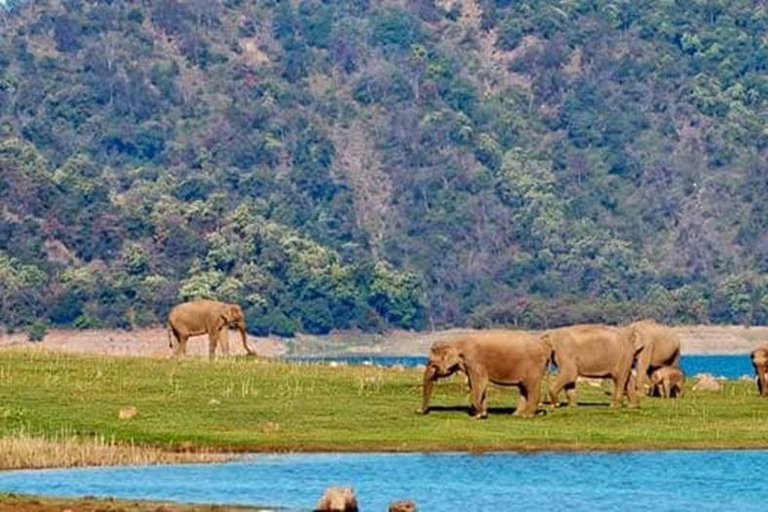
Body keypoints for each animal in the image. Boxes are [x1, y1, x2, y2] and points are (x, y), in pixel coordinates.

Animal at [420, 330, 552, 418]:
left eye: (432, 364)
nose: (420, 411)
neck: (455, 341)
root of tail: (545, 345)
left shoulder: (474, 361)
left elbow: (480, 381)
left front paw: (479, 415)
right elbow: (474, 384)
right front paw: (480, 413)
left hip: (534, 367)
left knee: (531, 387)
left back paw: (527, 416)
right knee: (523, 388)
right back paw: (516, 414)